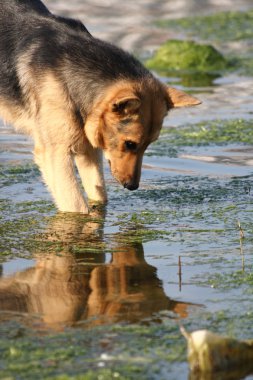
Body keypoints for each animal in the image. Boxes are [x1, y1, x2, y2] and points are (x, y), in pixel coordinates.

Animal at [0, 0, 202, 214]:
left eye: (149, 144)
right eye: (130, 144)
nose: (133, 186)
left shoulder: (87, 150)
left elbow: (99, 195)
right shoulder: (56, 155)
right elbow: (77, 206)